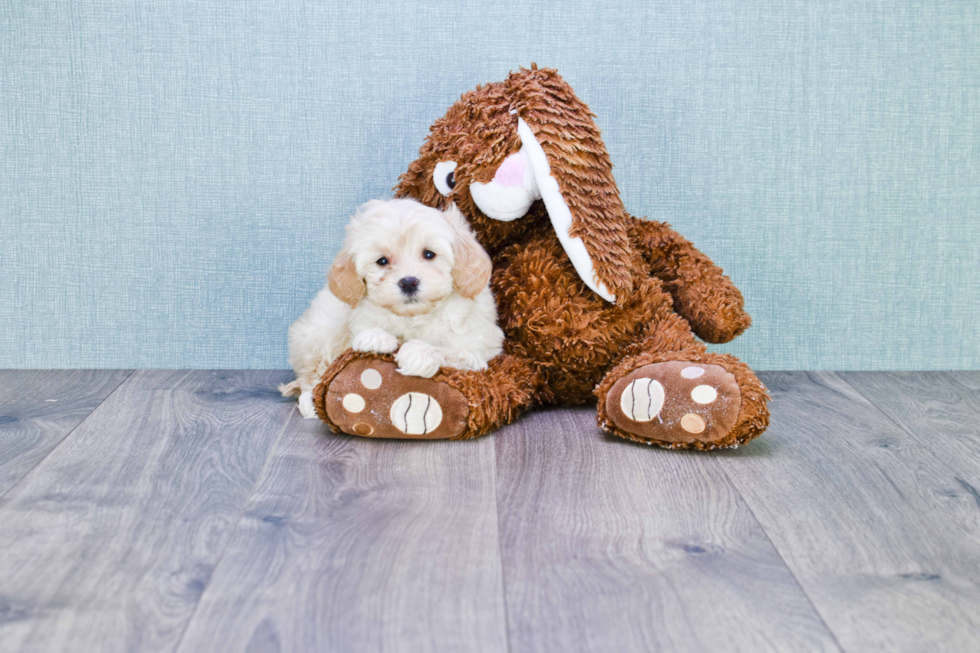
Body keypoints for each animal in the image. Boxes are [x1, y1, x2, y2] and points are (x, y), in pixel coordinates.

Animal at [278, 196, 502, 418]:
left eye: (429, 254)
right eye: (382, 261)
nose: (409, 282)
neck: (413, 315)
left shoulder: (478, 355)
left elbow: (454, 353)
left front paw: (419, 353)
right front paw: (375, 338)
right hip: (320, 328)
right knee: (312, 372)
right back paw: (310, 401)